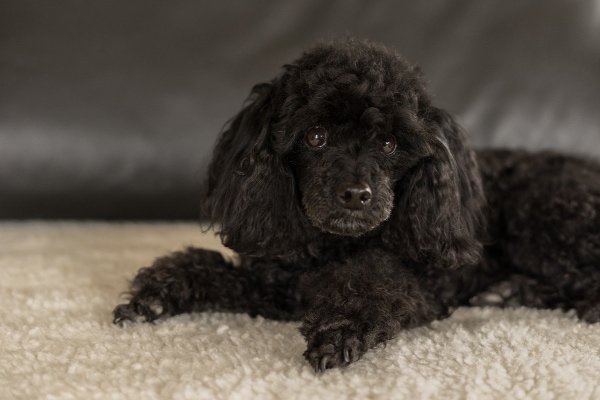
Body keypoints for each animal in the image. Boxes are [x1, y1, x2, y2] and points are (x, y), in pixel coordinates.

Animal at [113, 37, 600, 372]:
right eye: (314, 136)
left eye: (388, 143)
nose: (355, 194)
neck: (331, 247)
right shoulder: (269, 286)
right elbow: (206, 268)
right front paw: (154, 296)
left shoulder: (414, 286)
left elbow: (368, 285)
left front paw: (338, 333)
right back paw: (510, 291)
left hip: (545, 217)